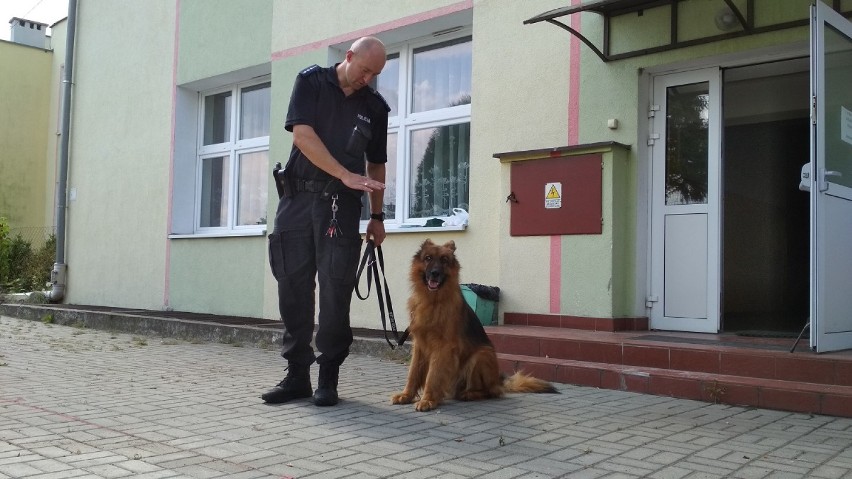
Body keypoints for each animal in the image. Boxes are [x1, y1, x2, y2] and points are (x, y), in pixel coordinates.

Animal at [390, 240, 556, 412]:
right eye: (428, 258)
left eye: (444, 260)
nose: (435, 273)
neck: (432, 301)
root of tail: (498, 381)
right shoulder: (419, 345)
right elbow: (413, 373)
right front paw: (406, 395)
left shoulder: (442, 347)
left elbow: (433, 376)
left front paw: (428, 399)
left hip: (481, 355)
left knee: (491, 392)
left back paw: (469, 394)